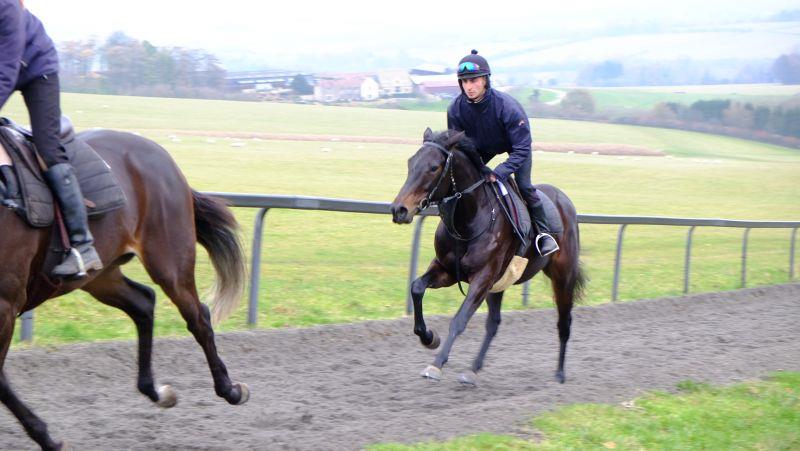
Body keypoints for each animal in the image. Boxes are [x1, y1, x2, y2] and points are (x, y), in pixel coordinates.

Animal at [0, 127, 249, 450]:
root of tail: (162, 155)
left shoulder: (5, 304)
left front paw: (48, 438)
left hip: (169, 260)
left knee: (198, 317)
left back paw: (229, 389)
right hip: (100, 275)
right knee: (143, 302)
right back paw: (155, 390)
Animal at [390, 128, 585, 385]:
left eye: (433, 167)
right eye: (411, 162)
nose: (399, 210)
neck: (468, 220)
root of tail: (565, 201)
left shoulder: (483, 277)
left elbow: (459, 320)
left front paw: (436, 364)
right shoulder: (447, 270)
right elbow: (417, 288)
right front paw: (429, 337)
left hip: (563, 275)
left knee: (564, 321)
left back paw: (560, 374)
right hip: (499, 283)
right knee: (494, 323)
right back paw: (473, 369)